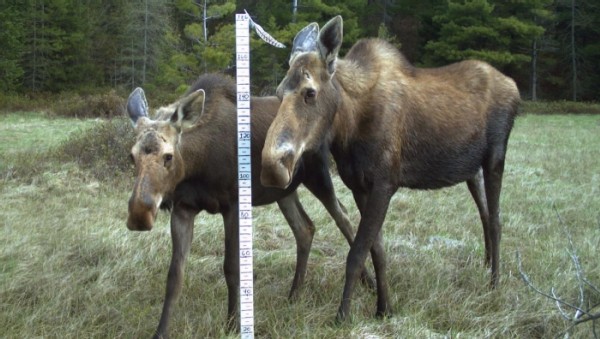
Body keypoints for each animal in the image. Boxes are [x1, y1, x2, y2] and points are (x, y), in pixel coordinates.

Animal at [126, 73, 370, 338]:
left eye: (168, 156)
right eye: (131, 156)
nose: (139, 214)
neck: (197, 165)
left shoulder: (232, 204)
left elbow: (232, 268)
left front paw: (233, 324)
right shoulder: (184, 207)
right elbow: (174, 275)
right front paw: (160, 331)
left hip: (318, 174)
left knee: (343, 216)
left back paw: (368, 284)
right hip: (283, 190)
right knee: (305, 228)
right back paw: (294, 294)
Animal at [262, 16, 520, 324]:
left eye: (309, 92)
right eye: (279, 93)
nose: (271, 165)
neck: (347, 128)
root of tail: (515, 87)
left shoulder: (385, 184)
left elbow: (356, 253)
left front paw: (343, 316)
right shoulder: (360, 187)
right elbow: (377, 251)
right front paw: (384, 308)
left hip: (495, 158)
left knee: (496, 221)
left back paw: (495, 284)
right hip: (473, 170)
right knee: (484, 215)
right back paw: (486, 266)